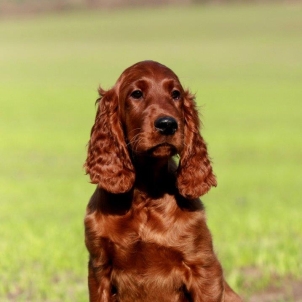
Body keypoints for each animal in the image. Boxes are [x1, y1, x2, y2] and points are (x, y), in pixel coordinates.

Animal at [84, 60, 242, 300]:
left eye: (175, 94)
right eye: (136, 94)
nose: (167, 124)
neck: (146, 195)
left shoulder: (204, 268)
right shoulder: (99, 269)